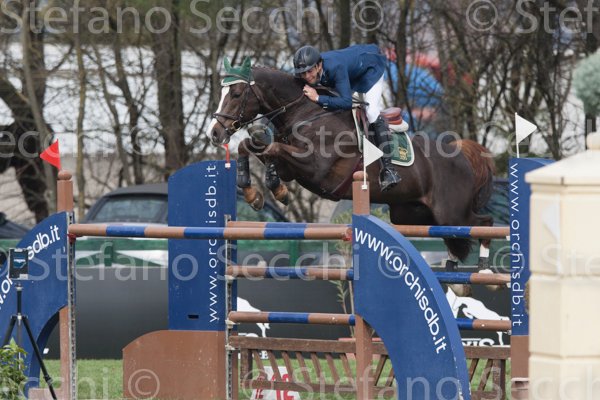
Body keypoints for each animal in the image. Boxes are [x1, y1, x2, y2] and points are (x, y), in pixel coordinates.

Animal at [208, 58, 495, 268]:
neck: (306, 112)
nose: (215, 133)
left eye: (236, 93)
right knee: (453, 235)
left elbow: (272, 149)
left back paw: (482, 269)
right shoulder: (292, 168)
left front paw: (274, 188)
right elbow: (253, 147)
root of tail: (461, 154)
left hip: (451, 211)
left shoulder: (316, 170)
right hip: (413, 214)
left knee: (483, 223)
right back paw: (454, 268)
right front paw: (254, 192)